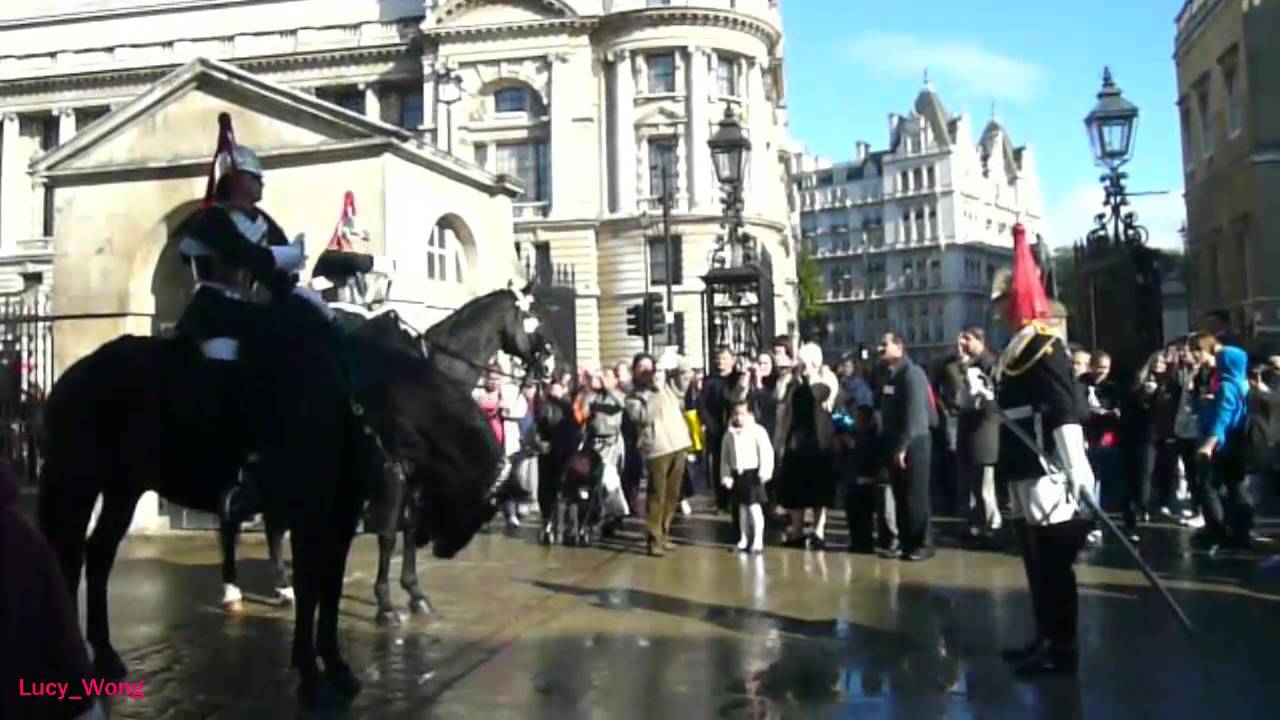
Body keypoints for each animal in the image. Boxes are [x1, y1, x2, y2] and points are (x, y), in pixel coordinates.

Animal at [38, 283, 550, 702]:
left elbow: (340, 574)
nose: (549, 368)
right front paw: (381, 611)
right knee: (76, 554)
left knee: (102, 553)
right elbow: (365, 551)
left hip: (123, 487)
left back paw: (110, 652)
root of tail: (75, 373)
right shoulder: (369, 491)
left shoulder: (356, 501)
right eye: (535, 322)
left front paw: (386, 616)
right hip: (78, 481)